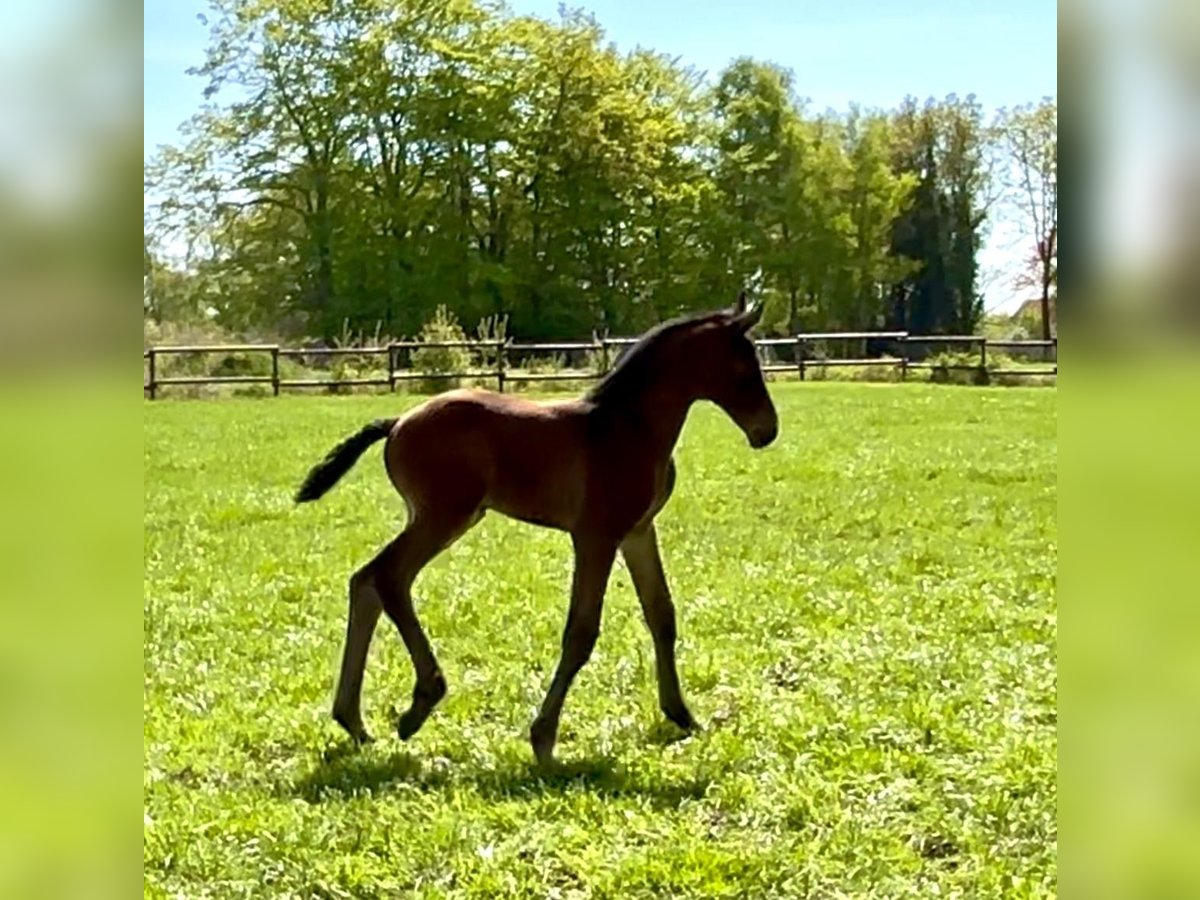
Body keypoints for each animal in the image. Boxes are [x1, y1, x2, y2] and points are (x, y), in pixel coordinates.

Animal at [294, 292, 778, 764]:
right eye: (744, 367)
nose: (767, 430)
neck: (627, 427)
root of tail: (396, 424)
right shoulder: (595, 537)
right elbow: (581, 632)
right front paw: (544, 739)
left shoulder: (638, 532)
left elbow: (662, 615)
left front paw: (682, 715)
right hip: (446, 516)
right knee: (388, 577)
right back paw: (421, 701)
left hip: (439, 517)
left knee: (366, 580)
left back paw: (354, 721)